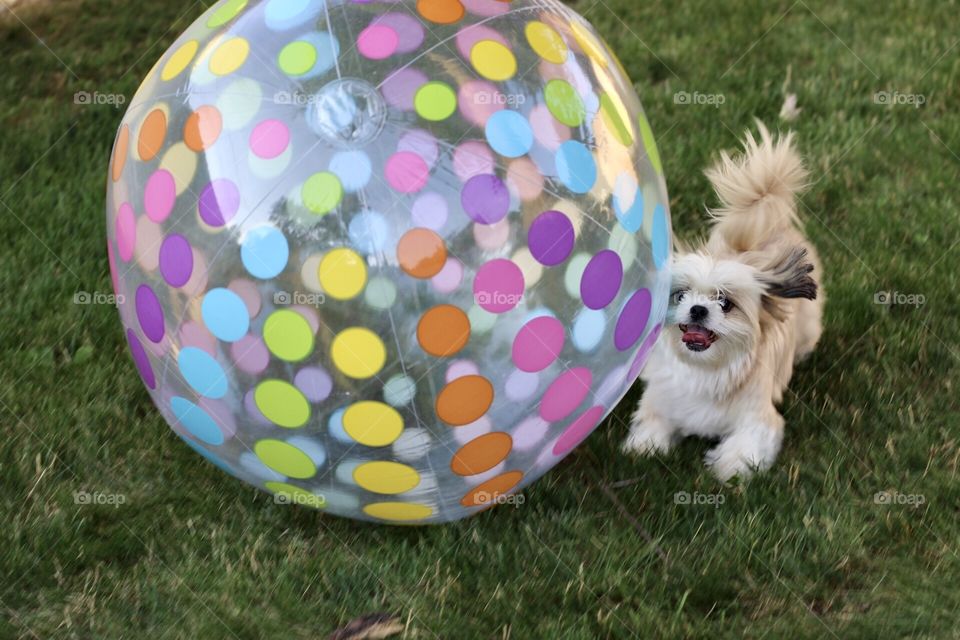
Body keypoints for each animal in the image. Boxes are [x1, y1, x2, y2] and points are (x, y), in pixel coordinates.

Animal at [628, 124, 820, 480]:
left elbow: (746, 445)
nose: (697, 309)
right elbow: (652, 422)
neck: (706, 371)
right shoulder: (661, 398)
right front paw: (644, 447)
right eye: (681, 295)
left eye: (725, 302)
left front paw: (727, 469)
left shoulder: (759, 419)